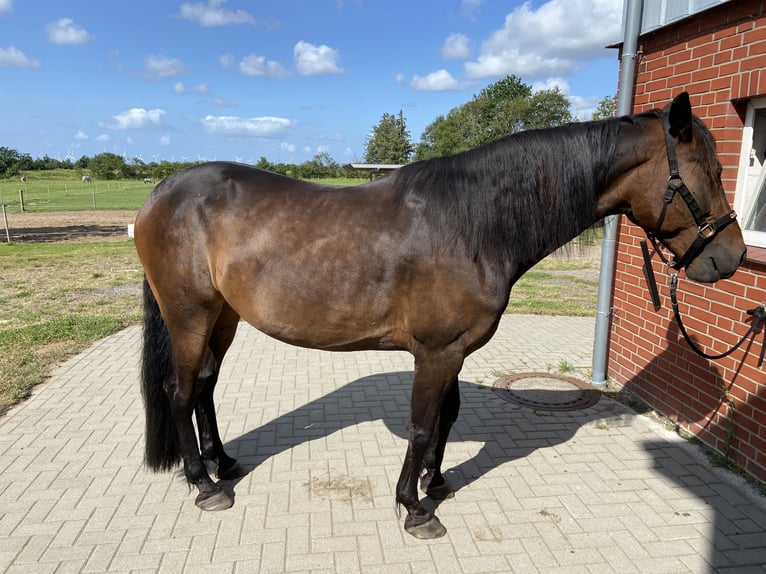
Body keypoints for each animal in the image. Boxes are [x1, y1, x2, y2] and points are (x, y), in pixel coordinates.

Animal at [135, 93, 748, 540]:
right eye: (712, 173)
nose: (733, 257)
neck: (474, 222)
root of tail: (161, 192)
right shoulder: (435, 351)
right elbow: (423, 423)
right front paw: (414, 508)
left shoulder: (454, 351)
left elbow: (448, 417)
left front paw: (437, 482)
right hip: (189, 316)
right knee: (180, 390)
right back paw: (204, 485)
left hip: (223, 318)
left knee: (206, 386)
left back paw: (225, 464)